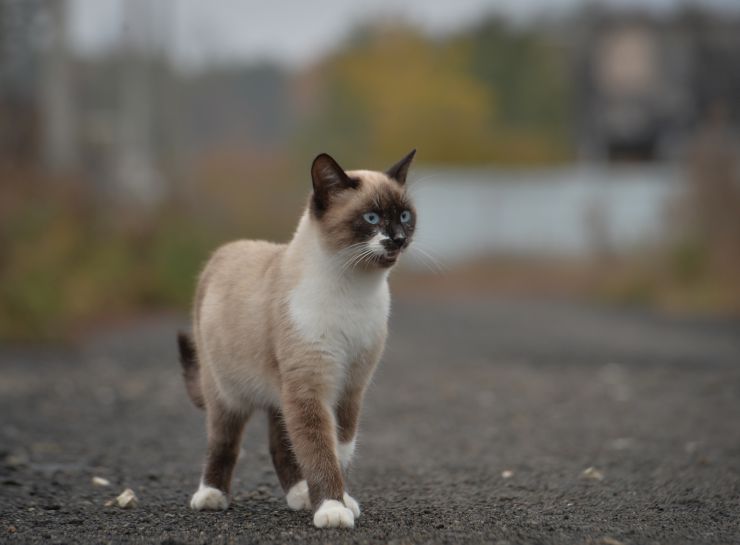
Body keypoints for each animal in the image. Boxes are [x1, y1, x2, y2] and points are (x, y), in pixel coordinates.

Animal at [178, 149, 416, 528]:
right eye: (372, 217)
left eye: (405, 216)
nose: (398, 239)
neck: (356, 289)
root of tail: (223, 252)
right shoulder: (309, 385)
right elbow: (320, 449)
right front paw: (332, 509)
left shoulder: (351, 387)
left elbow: (338, 449)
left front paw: (340, 500)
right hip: (227, 392)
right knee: (224, 442)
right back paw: (211, 495)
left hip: (281, 393)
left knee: (281, 443)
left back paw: (301, 496)